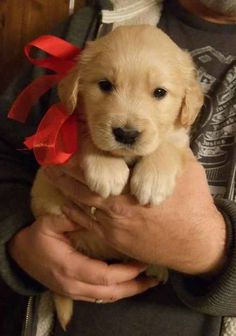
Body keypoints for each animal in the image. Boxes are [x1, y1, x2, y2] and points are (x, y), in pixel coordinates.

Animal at [30, 25, 203, 330]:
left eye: (160, 92)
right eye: (105, 85)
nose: (126, 134)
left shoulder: (180, 139)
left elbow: (167, 145)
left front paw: (153, 180)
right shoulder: (75, 129)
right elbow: (89, 135)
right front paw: (107, 170)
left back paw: (157, 266)